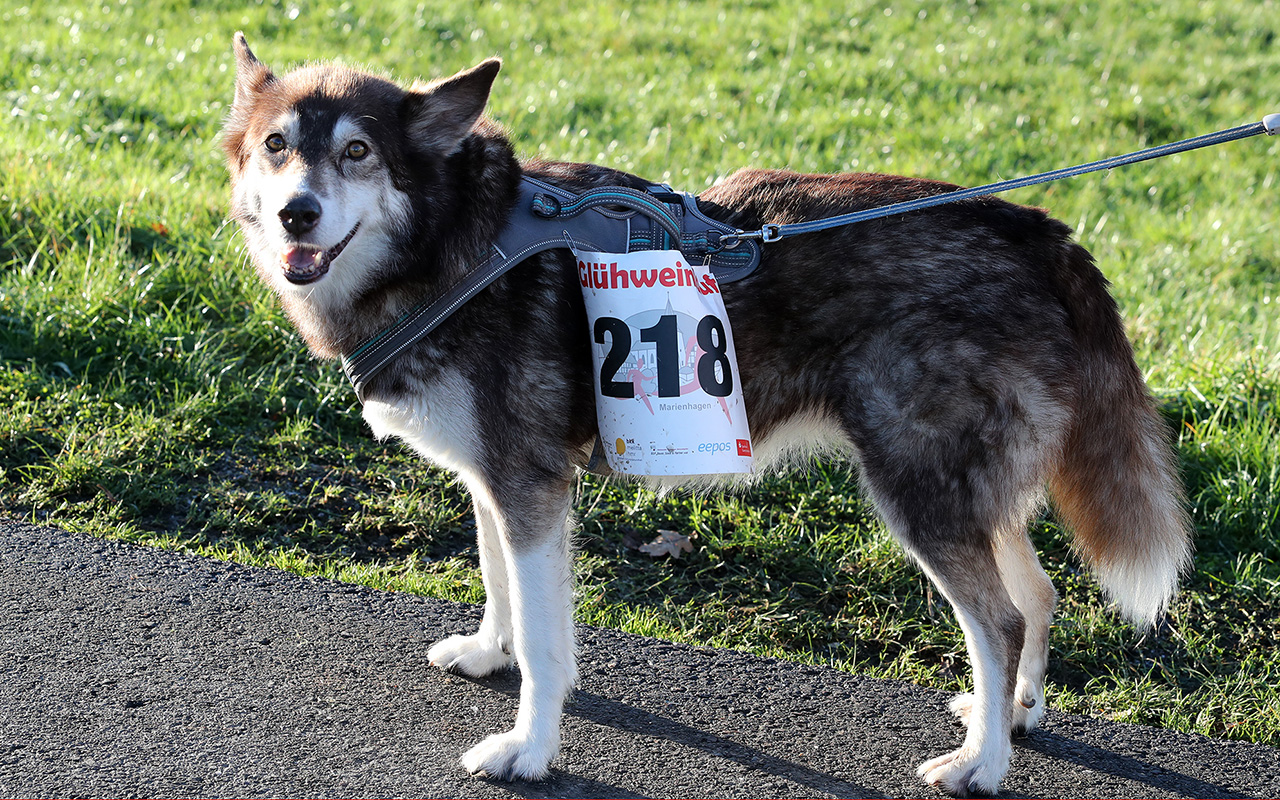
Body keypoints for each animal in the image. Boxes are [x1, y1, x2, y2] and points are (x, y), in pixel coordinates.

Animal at [217, 34, 1187, 793]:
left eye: (357, 152)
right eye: (275, 147)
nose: (298, 212)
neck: (456, 241)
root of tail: (1037, 230)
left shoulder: (530, 486)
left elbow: (546, 640)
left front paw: (528, 749)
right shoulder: (496, 484)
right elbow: (499, 586)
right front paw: (491, 652)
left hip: (920, 490)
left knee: (1003, 619)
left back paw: (981, 765)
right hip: (968, 493)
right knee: (1040, 594)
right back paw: (1011, 716)